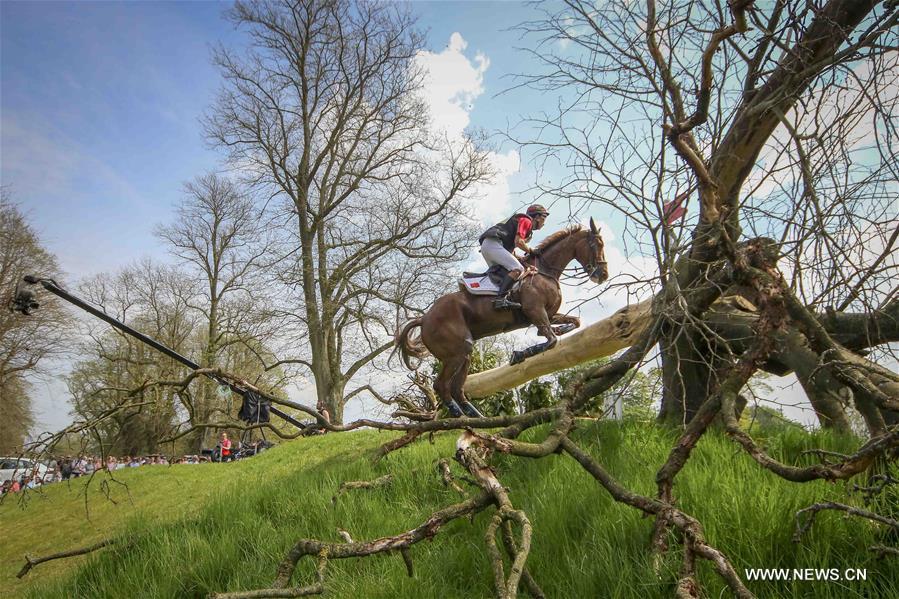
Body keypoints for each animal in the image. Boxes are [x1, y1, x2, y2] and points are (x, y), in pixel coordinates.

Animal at [396, 218, 612, 420]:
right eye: (596, 244)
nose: (603, 275)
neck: (545, 272)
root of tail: (424, 319)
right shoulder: (536, 311)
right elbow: (551, 340)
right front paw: (520, 354)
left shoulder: (548, 314)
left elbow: (573, 323)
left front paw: (554, 331)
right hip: (457, 352)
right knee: (441, 385)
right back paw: (459, 415)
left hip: (464, 354)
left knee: (457, 388)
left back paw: (477, 417)